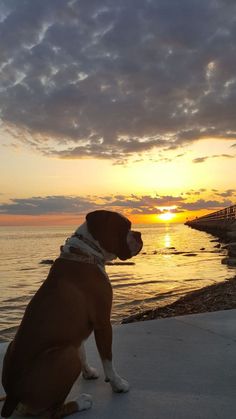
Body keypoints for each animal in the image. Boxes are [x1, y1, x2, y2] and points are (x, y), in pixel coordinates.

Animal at [0, 212, 143, 418]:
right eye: (125, 227)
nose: (139, 234)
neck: (86, 253)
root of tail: (13, 396)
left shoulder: (78, 332)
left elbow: (82, 350)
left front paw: (88, 372)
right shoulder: (103, 323)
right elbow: (108, 358)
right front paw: (118, 384)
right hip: (66, 355)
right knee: (51, 412)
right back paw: (81, 402)